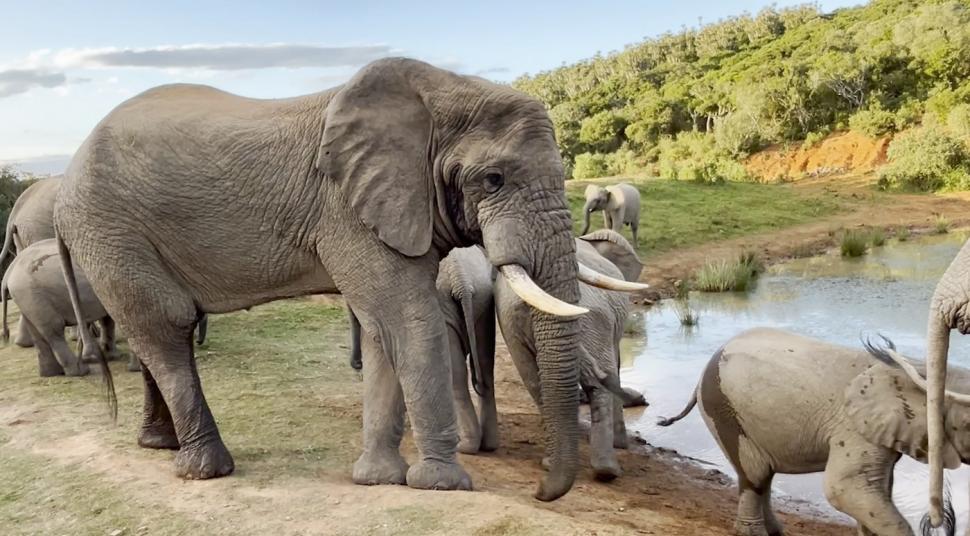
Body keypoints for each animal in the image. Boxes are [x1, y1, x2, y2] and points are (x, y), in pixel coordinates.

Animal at [1, 239, 137, 376]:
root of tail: (9, 271)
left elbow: (109, 319)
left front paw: (112, 356)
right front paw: (133, 368)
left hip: (28, 298)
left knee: (38, 332)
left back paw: (51, 373)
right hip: (33, 295)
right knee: (55, 330)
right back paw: (80, 371)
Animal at [496, 229, 647, 481]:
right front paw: (621, 445)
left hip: (513, 326)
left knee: (534, 381)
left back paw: (553, 462)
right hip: (594, 319)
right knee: (601, 382)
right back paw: (607, 471)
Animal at [658, 328, 970, 536]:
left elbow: (877, 489)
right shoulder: (854, 429)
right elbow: (844, 489)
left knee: (763, 477)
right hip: (723, 409)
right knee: (754, 476)